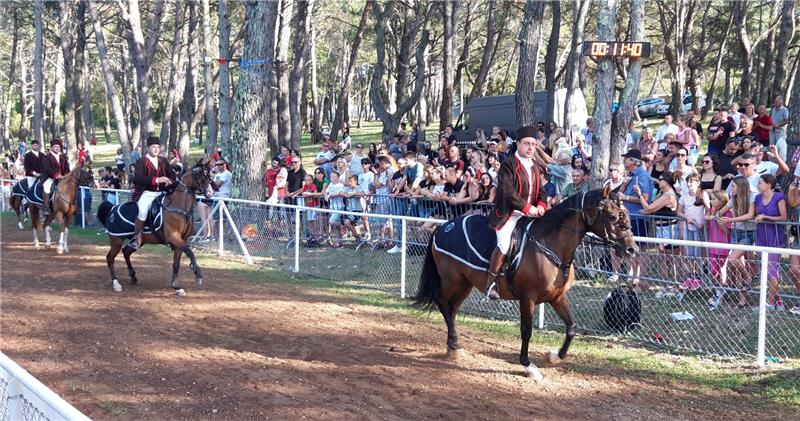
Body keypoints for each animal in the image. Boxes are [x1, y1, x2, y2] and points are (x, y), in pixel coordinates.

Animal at [95, 159, 212, 294]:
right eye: (198, 174)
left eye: (208, 175)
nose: (210, 193)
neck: (178, 206)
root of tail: (112, 209)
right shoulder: (174, 237)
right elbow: (190, 252)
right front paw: (198, 274)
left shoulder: (181, 240)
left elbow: (176, 263)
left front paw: (175, 286)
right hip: (116, 240)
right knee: (110, 258)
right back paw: (116, 283)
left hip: (139, 241)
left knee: (126, 252)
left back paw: (133, 276)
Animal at [416, 187, 640, 378]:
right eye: (612, 216)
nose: (632, 249)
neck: (550, 245)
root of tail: (445, 226)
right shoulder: (528, 298)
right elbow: (527, 330)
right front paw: (528, 365)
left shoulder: (557, 297)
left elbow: (571, 327)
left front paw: (554, 357)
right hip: (451, 280)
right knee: (443, 304)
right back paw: (454, 345)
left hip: (464, 284)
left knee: (452, 309)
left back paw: (454, 347)